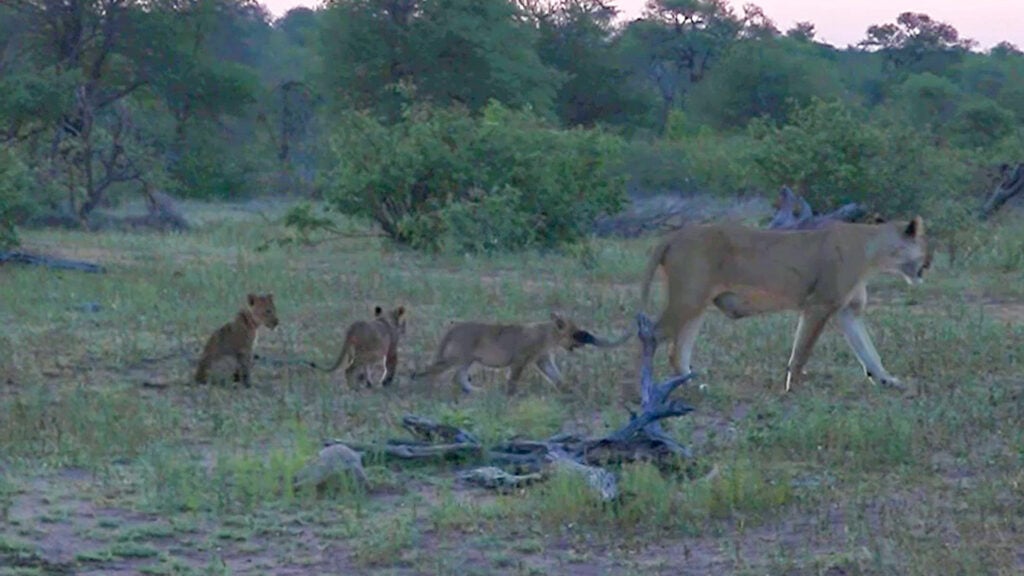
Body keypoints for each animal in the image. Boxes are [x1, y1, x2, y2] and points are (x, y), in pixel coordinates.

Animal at [411, 312, 631, 395]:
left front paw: (567, 388)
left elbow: (556, 375)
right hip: (457, 357)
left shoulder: (543, 360)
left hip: (467, 359)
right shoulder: (520, 358)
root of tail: (453, 327)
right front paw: (511, 394)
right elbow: (514, 378)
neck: (549, 334)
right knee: (432, 370)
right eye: (576, 333)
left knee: (459, 377)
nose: (585, 339)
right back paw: (420, 386)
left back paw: (478, 391)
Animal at [641, 217, 930, 391]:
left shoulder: (848, 312)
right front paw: (794, 385)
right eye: (928, 247)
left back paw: (693, 386)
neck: (874, 254)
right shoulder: (819, 305)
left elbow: (868, 351)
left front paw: (888, 380)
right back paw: (645, 388)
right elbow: (802, 350)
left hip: (696, 304)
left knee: (677, 351)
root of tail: (673, 235)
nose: (930, 263)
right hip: (687, 297)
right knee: (650, 334)